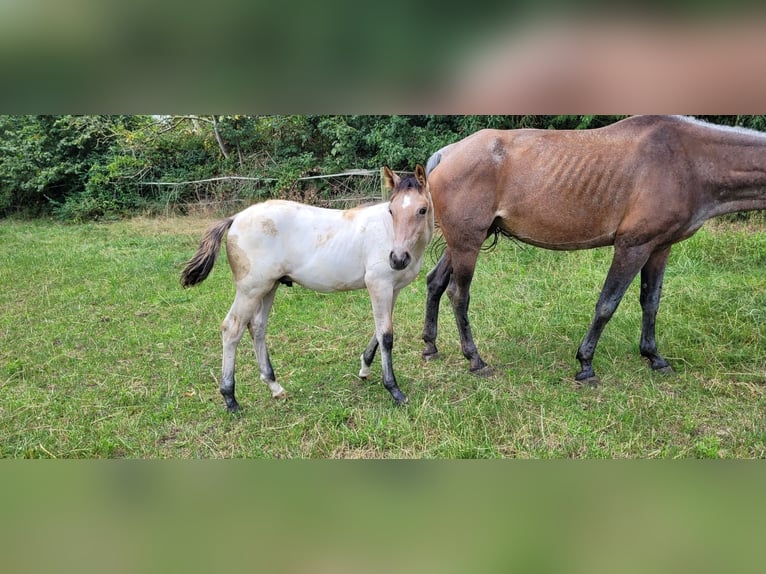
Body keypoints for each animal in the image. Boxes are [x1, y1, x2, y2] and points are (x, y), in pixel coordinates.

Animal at [181, 165, 433, 411]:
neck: (388, 233)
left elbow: (380, 330)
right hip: (250, 291)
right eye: (392, 211)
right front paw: (394, 390)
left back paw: (274, 387)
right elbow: (386, 335)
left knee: (258, 327)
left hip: (268, 287)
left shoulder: (393, 289)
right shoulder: (379, 286)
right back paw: (230, 398)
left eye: (422, 210)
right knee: (232, 329)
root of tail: (235, 218)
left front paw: (364, 367)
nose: (397, 259)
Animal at [422, 115, 766, 384]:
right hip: (467, 243)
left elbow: (651, 302)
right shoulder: (632, 246)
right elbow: (607, 304)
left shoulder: (660, 248)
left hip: (460, 242)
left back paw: (430, 346)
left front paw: (654, 357)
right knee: (458, 294)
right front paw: (585, 364)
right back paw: (475, 359)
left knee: (435, 283)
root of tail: (447, 154)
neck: (687, 159)